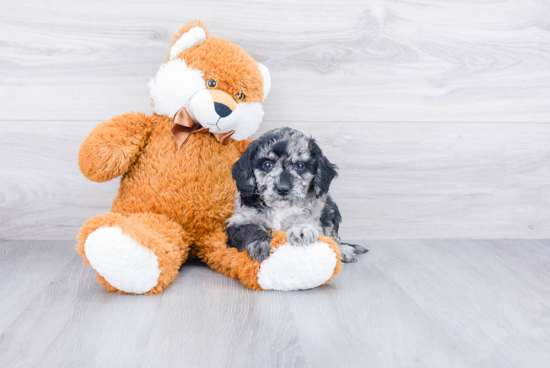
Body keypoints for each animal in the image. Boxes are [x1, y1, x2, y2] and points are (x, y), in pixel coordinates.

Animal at [224, 128, 370, 264]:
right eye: (267, 164)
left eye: (300, 166)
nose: (283, 189)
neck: (280, 208)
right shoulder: (240, 219)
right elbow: (250, 228)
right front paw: (260, 244)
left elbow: (306, 220)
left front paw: (301, 229)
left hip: (330, 207)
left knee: (334, 237)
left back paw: (344, 251)